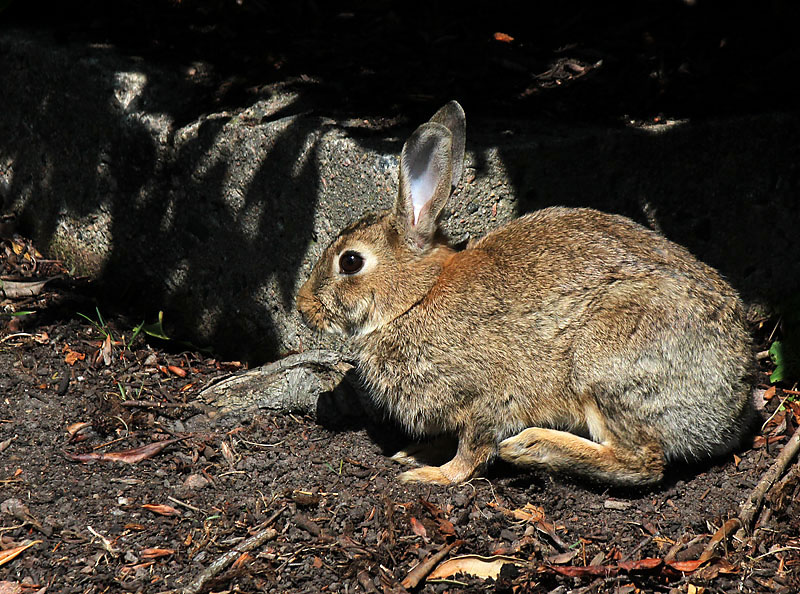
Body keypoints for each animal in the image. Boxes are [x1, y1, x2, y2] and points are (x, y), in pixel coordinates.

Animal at [296, 99, 756, 484]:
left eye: (350, 262)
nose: (302, 306)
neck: (416, 297)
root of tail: (733, 398)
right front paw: (414, 454)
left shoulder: (487, 397)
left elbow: (472, 448)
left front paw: (432, 475)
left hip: (605, 364)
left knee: (643, 461)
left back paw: (531, 448)